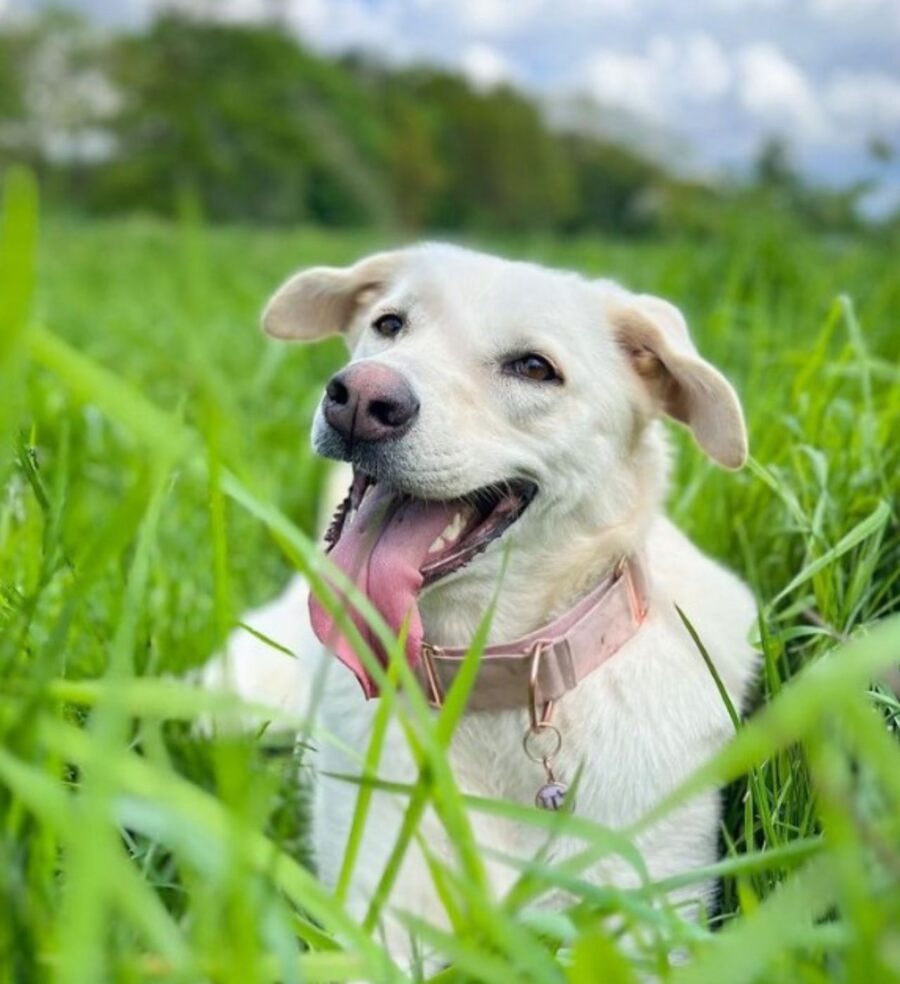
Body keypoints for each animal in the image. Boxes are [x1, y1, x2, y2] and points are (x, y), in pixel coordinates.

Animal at [206, 246, 760, 968]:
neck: (483, 679)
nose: (360, 398)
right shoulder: (382, 916)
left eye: (534, 367)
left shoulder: (648, 918)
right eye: (390, 325)